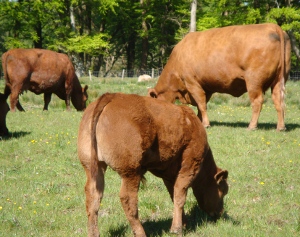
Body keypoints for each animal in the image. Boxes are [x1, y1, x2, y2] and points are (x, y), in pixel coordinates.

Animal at [77, 92, 227, 237]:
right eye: (222, 191)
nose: (219, 213)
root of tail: (110, 96)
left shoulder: (169, 174)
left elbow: (174, 195)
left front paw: (183, 223)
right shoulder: (190, 165)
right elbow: (180, 194)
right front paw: (177, 229)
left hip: (93, 167)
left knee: (93, 196)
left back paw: (93, 233)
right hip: (130, 172)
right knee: (128, 199)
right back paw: (141, 233)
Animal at [149, 23, 292, 131]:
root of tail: (273, 26)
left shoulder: (192, 83)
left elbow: (201, 104)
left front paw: (206, 124)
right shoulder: (206, 87)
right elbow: (201, 105)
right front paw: (200, 120)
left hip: (254, 81)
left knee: (257, 102)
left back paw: (252, 126)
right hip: (279, 80)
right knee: (278, 101)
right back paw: (280, 127)